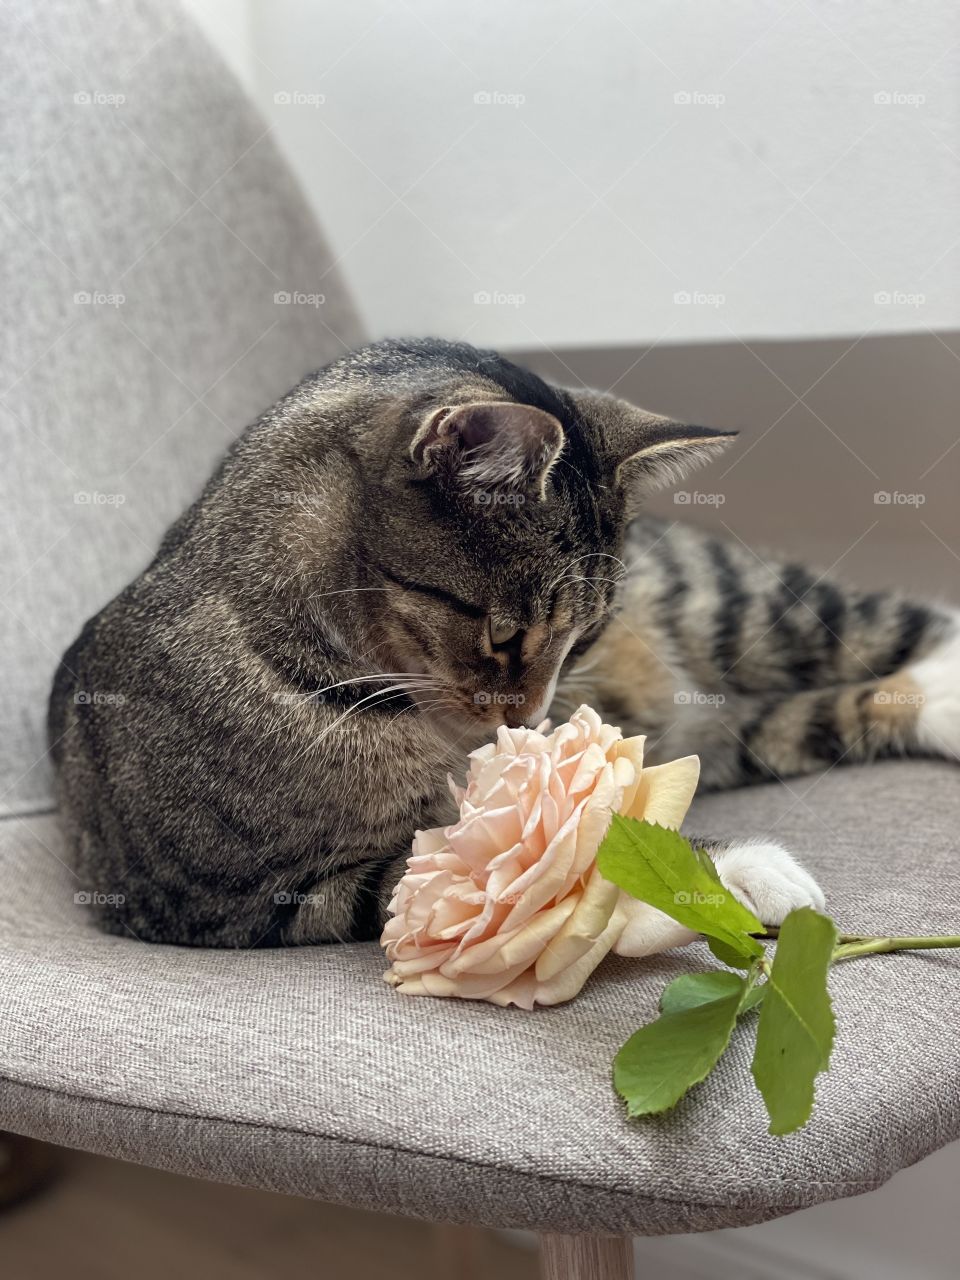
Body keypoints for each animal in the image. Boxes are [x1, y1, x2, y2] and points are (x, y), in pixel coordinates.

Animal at [47, 340, 960, 952]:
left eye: (586, 637)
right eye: (506, 632)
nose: (532, 717)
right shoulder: (247, 896)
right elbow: (508, 860)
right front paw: (728, 872)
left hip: (743, 607)